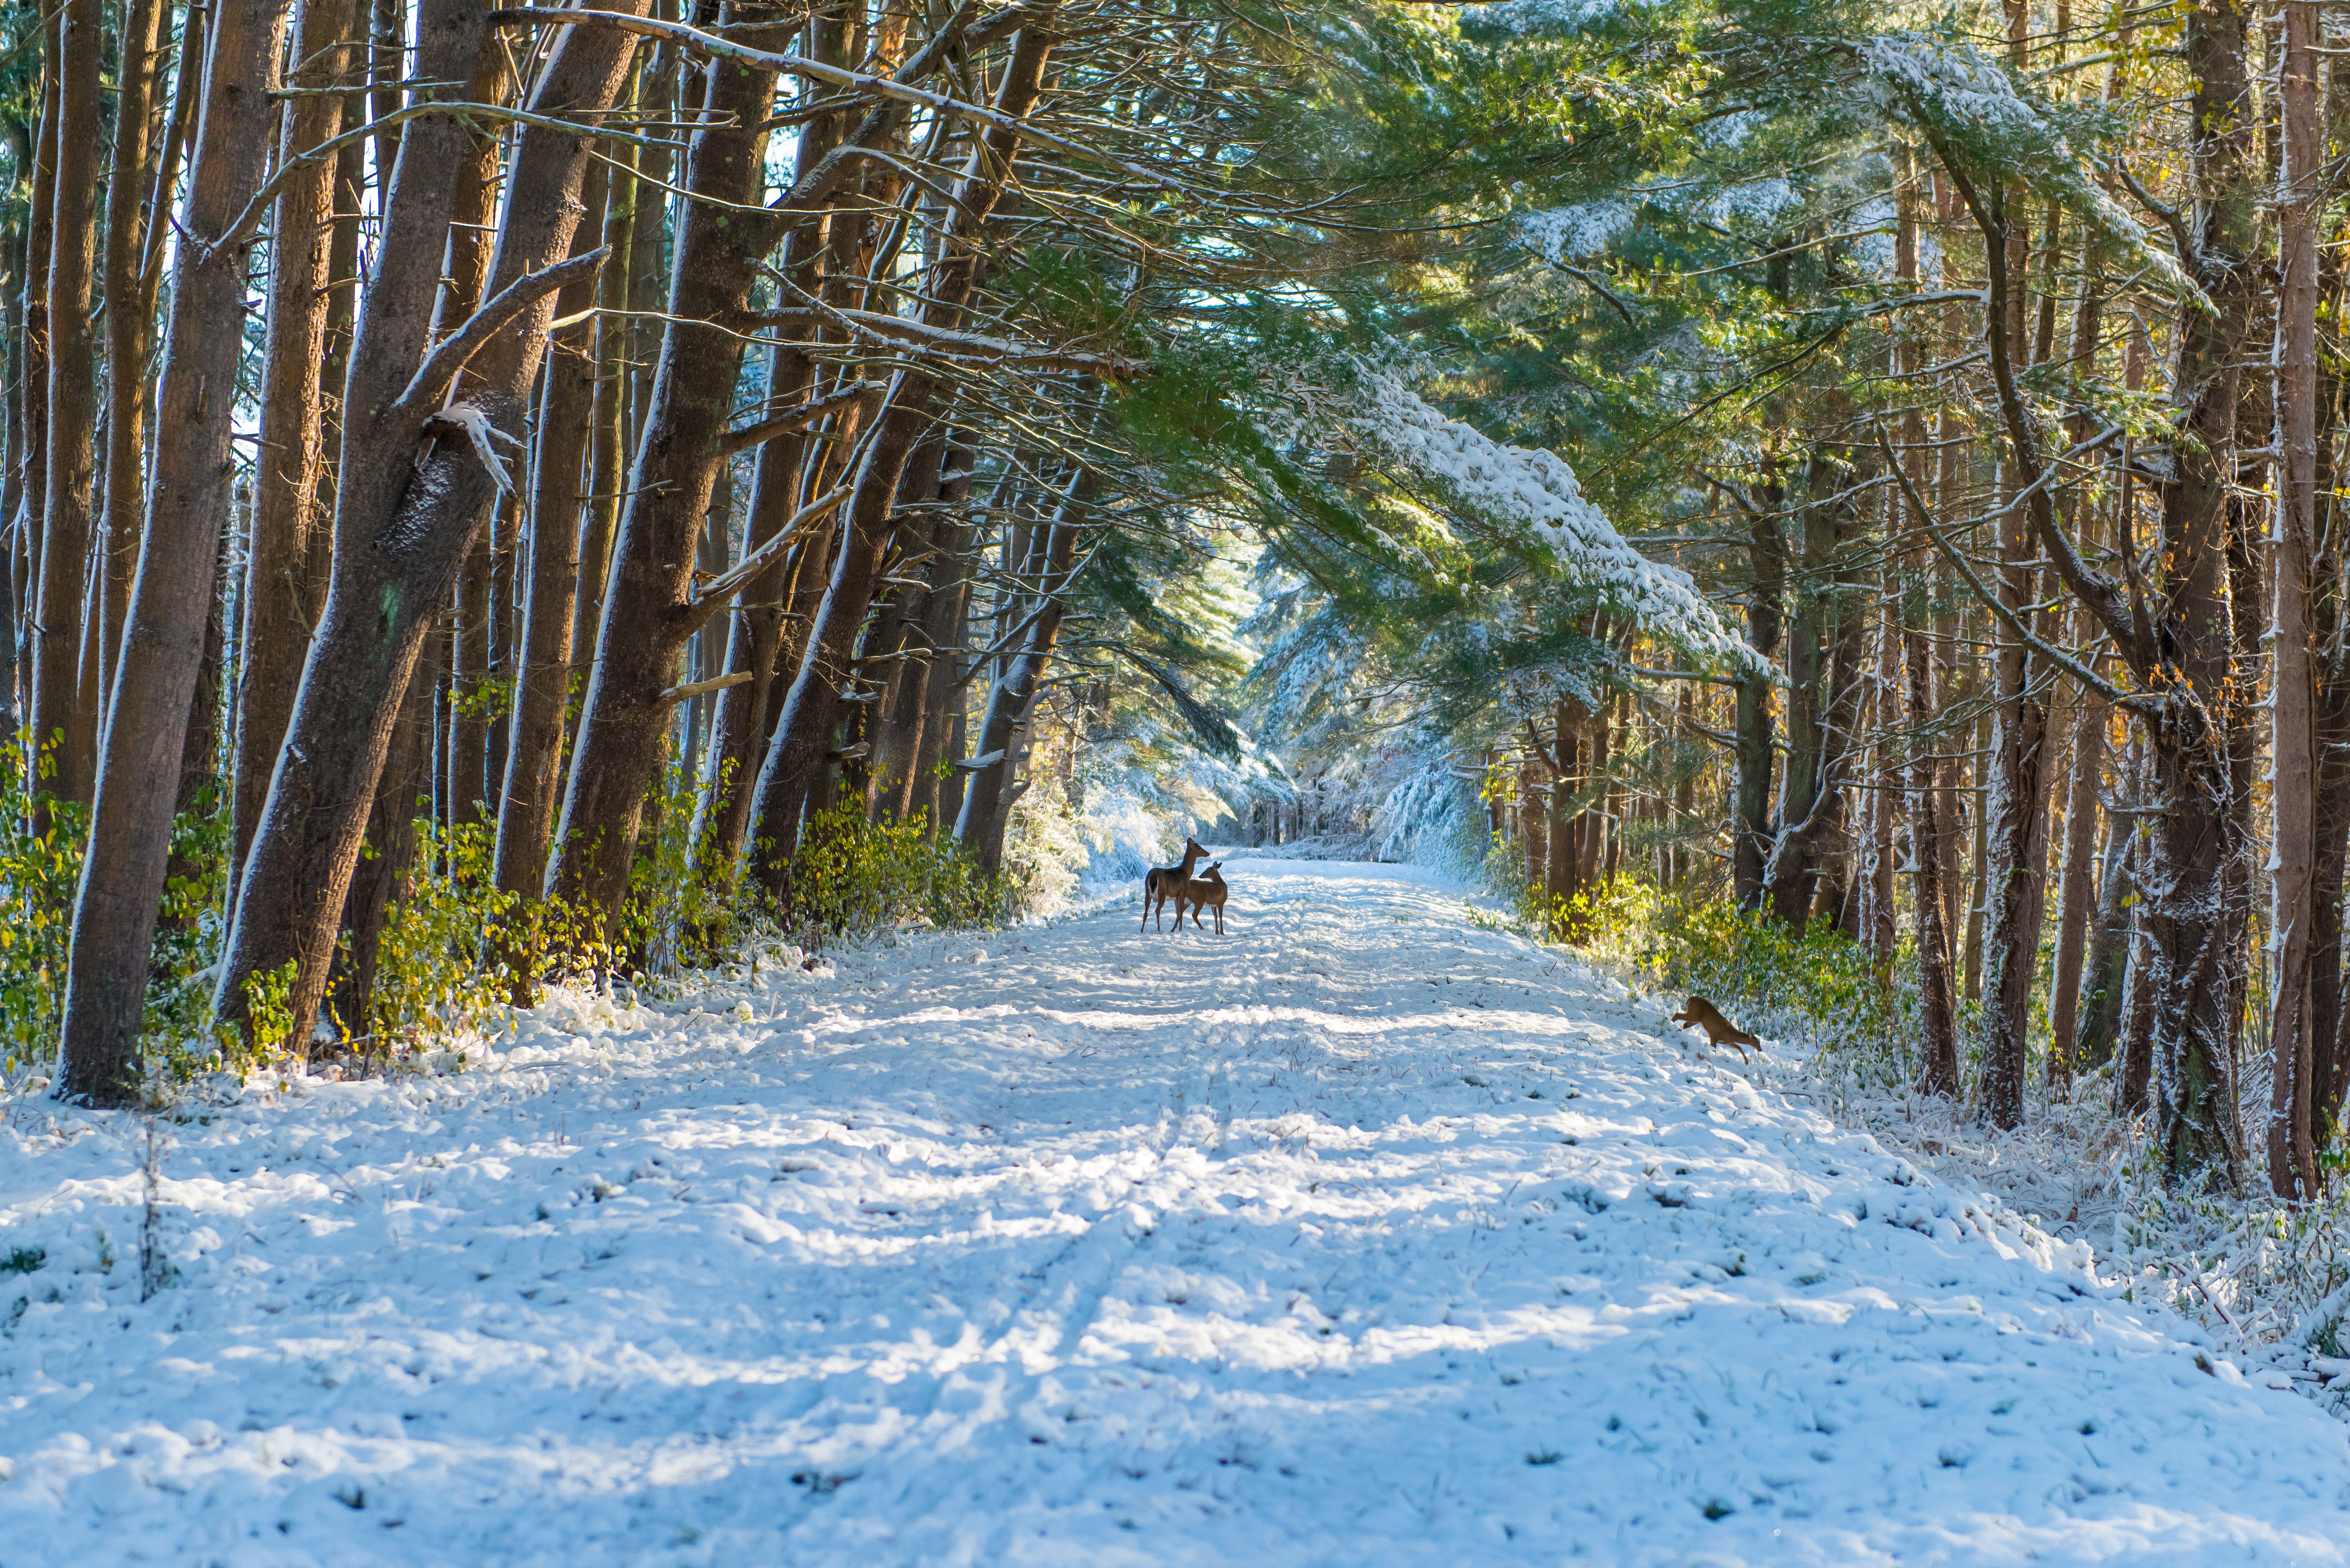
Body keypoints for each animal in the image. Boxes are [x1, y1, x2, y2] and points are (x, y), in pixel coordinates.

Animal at [1142, 832, 1212, 931]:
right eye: (1199, 848)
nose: (1208, 853)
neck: (1186, 873)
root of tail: (1153, 876)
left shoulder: (1175, 897)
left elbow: (1178, 914)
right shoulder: (1182, 893)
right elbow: (1181, 914)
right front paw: (1180, 931)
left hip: (1147, 893)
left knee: (1146, 913)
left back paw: (1142, 931)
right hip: (1162, 893)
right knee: (1157, 911)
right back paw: (1159, 930)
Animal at [1175, 870, 1231, 931]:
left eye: (1208, 871)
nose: (1200, 876)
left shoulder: (1214, 905)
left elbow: (1216, 916)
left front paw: (1217, 932)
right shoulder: (1221, 902)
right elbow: (1220, 916)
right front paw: (1221, 932)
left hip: (1188, 902)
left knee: (1179, 913)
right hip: (1199, 901)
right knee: (1194, 915)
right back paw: (1203, 929)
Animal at [1673, 1006, 1767, 1067]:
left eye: (1759, 1042)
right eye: (1757, 1042)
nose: (1761, 1049)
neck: (1731, 1033)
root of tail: (1691, 999)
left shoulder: (1727, 1042)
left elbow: (1739, 1047)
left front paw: (1747, 1062)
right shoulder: (1714, 1037)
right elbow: (1714, 1050)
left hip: (1696, 1020)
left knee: (1685, 1024)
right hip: (1694, 1015)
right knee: (1677, 1015)